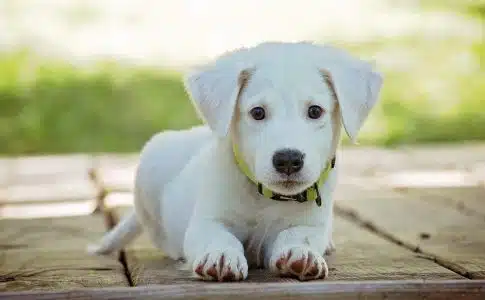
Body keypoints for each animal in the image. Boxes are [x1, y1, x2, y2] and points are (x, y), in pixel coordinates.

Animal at [88, 40, 382, 282]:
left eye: (315, 111)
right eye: (257, 112)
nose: (288, 160)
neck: (265, 197)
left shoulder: (309, 223)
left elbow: (299, 235)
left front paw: (301, 253)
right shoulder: (206, 221)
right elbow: (219, 236)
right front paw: (220, 256)